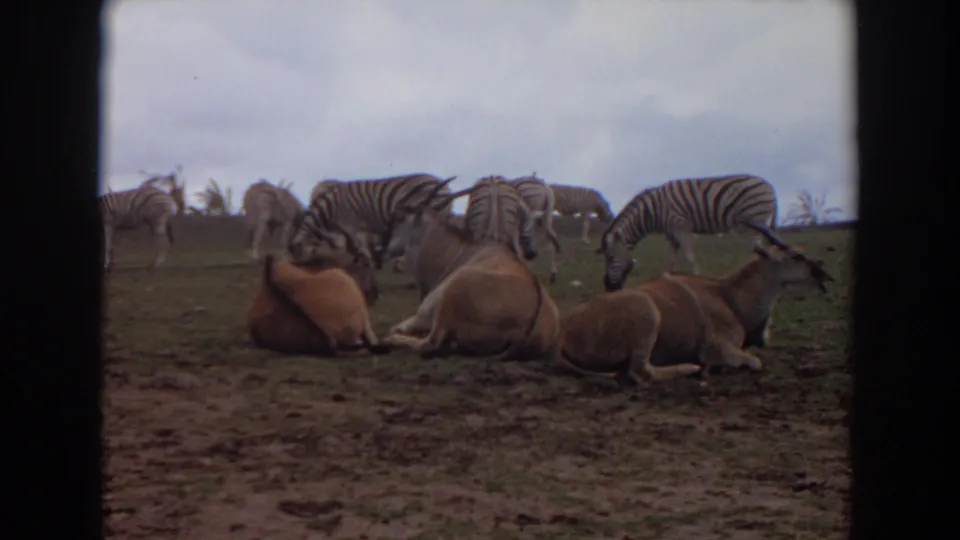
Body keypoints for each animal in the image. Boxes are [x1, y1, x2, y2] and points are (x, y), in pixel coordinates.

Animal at [288, 173, 457, 265]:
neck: (331, 207)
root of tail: (443, 186)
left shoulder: (350, 225)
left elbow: (352, 248)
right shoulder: (357, 228)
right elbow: (356, 248)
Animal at [597, 174, 779, 292]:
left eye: (610, 258)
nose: (608, 287)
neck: (653, 212)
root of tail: (769, 185)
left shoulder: (680, 228)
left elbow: (689, 257)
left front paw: (697, 280)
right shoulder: (670, 234)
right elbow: (672, 260)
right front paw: (670, 281)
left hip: (755, 221)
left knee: (760, 248)